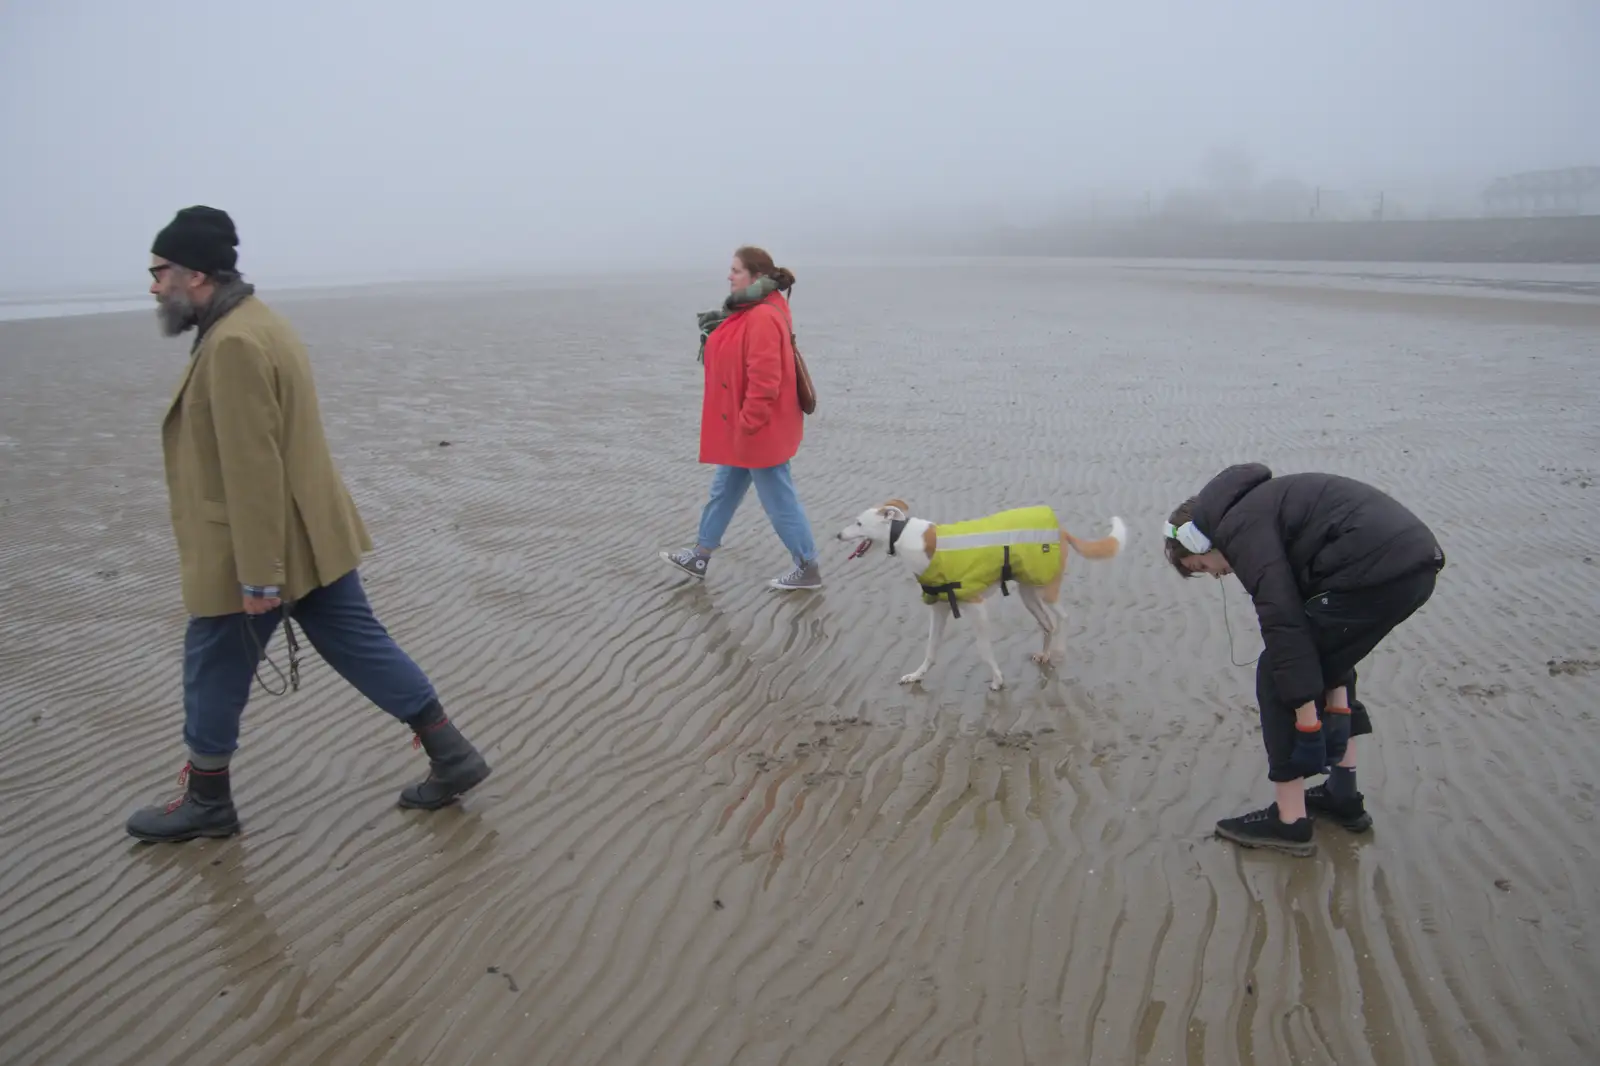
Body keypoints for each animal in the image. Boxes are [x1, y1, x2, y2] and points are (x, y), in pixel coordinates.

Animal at [838, 499, 1126, 688]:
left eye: (858, 523)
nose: (838, 534)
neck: (912, 539)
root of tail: (1062, 530)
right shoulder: (939, 609)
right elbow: (931, 649)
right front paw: (917, 675)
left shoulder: (976, 607)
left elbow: (984, 649)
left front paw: (997, 679)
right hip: (1028, 594)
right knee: (1048, 624)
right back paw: (1045, 654)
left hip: (1047, 589)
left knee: (1063, 618)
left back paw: (1059, 652)